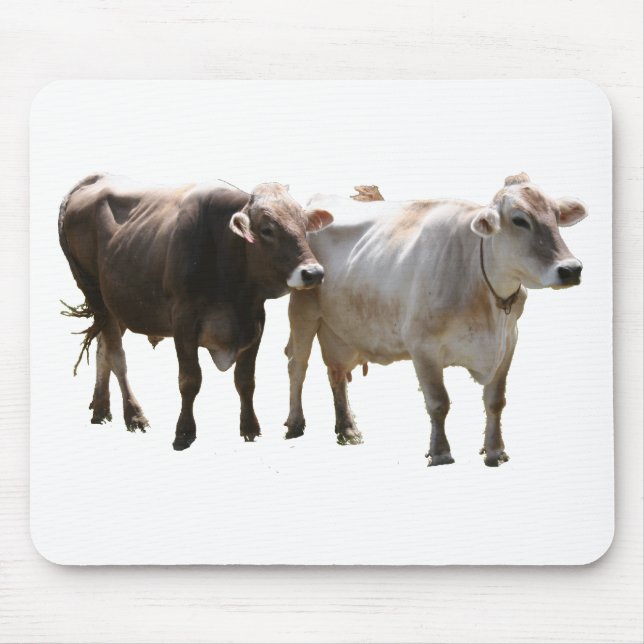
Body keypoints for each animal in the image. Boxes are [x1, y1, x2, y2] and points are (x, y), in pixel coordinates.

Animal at [59, 174, 333, 450]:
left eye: (304, 225)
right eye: (267, 229)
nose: (313, 273)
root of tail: (96, 179)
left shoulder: (255, 319)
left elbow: (245, 380)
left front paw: (250, 428)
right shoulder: (183, 320)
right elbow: (190, 380)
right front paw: (184, 432)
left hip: (119, 304)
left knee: (102, 349)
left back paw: (101, 409)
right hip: (95, 293)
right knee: (116, 356)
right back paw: (134, 414)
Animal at [284, 173, 587, 466]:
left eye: (556, 216)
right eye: (519, 220)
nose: (571, 269)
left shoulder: (508, 342)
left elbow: (495, 401)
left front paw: (495, 451)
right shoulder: (423, 346)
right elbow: (439, 402)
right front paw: (440, 453)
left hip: (339, 331)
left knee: (336, 372)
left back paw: (347, 429)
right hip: (303, 312)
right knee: (297, 366)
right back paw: (295, 423)